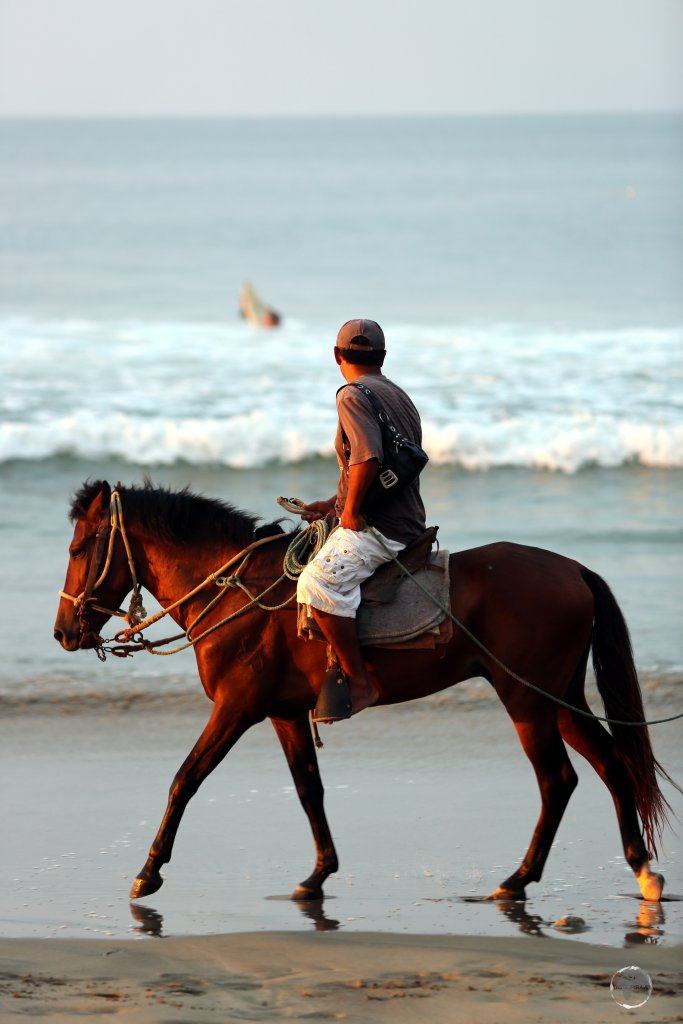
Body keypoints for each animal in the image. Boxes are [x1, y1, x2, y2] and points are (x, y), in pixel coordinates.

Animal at [54, 479, 679, 905]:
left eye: (80, 548)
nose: (63, 633)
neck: (237, 592)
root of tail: (573, 569)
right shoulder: (283, 714)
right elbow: (309, 790)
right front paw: (319, 872)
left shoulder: (237, 708)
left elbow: (184, 780)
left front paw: (149, 871)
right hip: (556, 696)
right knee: (611, 766)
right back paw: (640, 868)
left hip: (525, 700)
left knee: (558, 781)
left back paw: (519, 879)